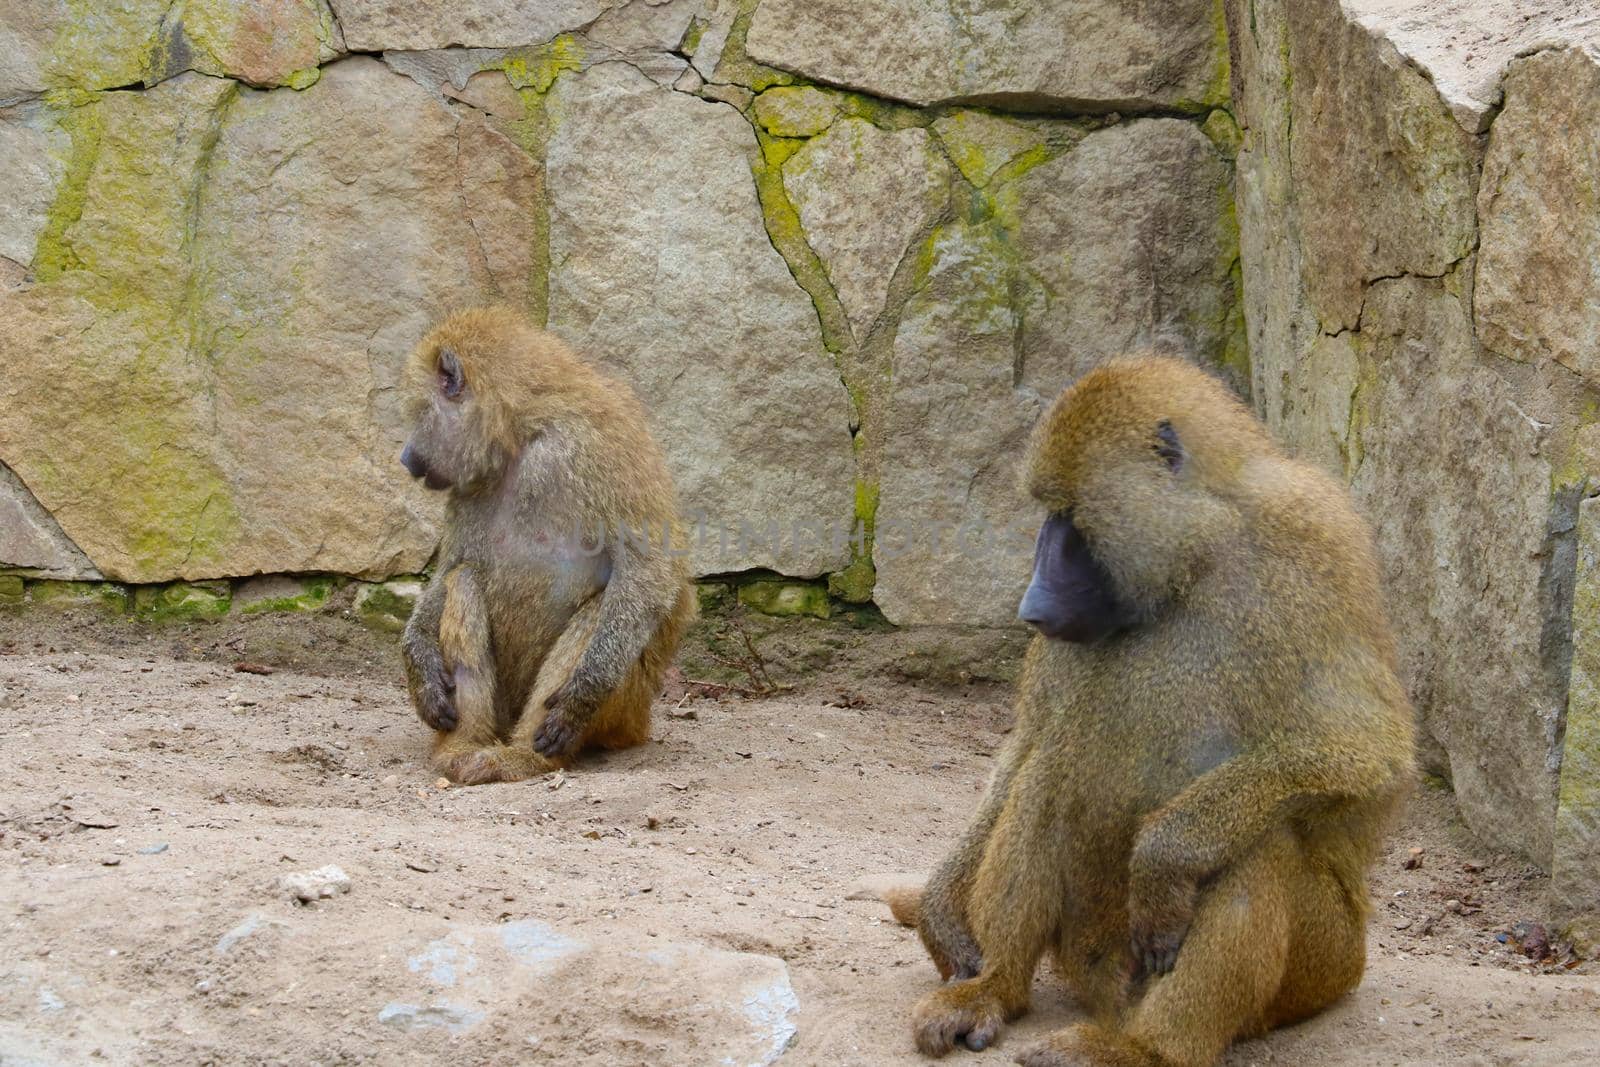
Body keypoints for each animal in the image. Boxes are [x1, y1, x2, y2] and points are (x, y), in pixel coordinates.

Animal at [398, 308, 694, 783]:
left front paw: (581, 697)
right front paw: (418, 662)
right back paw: (464, 748)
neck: (523, 434)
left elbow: (649, 569)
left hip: (623, 710)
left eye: (420, 412)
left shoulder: (598, 452)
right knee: (463, 581)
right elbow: (453, 565)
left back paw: (526, 757)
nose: (404, 459)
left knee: (600, 609)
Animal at [883, 355, 1420, 1062]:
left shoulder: (1311, 548)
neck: (1195, 556)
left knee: (1261, 842)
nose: (1032, 602)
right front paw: (944, 912)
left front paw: (1164, 858)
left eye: (1068, 517)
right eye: (1049, 513)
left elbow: (1367, 751)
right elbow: (1028, 746)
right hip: (1092, 949)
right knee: (1047, 776)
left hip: (1321, 963)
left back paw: (1146, 1049)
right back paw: (992, 990)